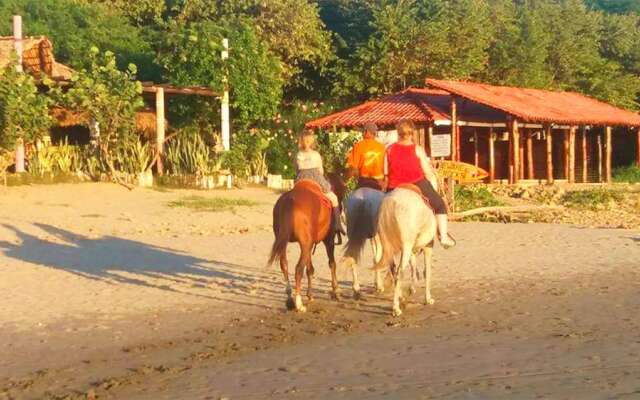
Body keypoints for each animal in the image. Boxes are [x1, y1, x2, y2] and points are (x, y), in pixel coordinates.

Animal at [268, 173, 344, 310]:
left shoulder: (310, 243)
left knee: (284, 265)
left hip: (284, 241)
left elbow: (310, 269)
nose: (341, 207)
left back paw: (290, 299)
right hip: (305, 243)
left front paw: (310, 294)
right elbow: (332, 263)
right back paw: (298, 303)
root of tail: (289, 202)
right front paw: (336, 291)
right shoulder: (328, 240)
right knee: (298, 268)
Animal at [372, 187, 438, 316]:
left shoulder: (412, 251)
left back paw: (399, 297)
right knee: (399, 273)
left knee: (392, 269)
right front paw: (427, 299)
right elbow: (426, 272)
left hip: (390, 247)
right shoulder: (428, 247)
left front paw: (410, 290)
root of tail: (391, 203)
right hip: (406, 247)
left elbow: (414, 271)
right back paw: (396, 308)